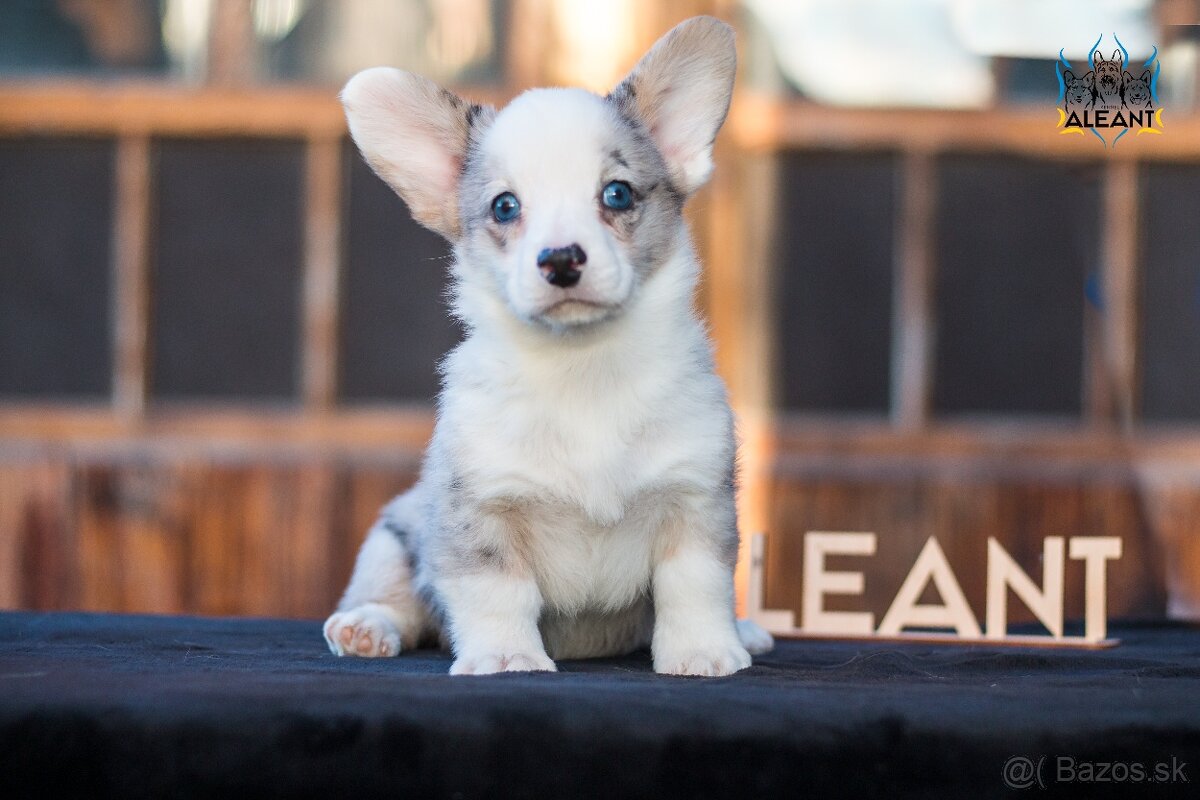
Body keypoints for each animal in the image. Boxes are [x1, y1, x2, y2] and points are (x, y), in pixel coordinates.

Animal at [328, 15, 772, 676]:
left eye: (617, 194)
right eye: (505, 206)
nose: (561, 260)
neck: (582, 367)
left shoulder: (695, 499)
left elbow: (695, 583)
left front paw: (704, 651)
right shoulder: (482, 510)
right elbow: (497, 591)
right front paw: (507, 657)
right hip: (391, 535)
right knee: (399, 602)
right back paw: (366, 627)